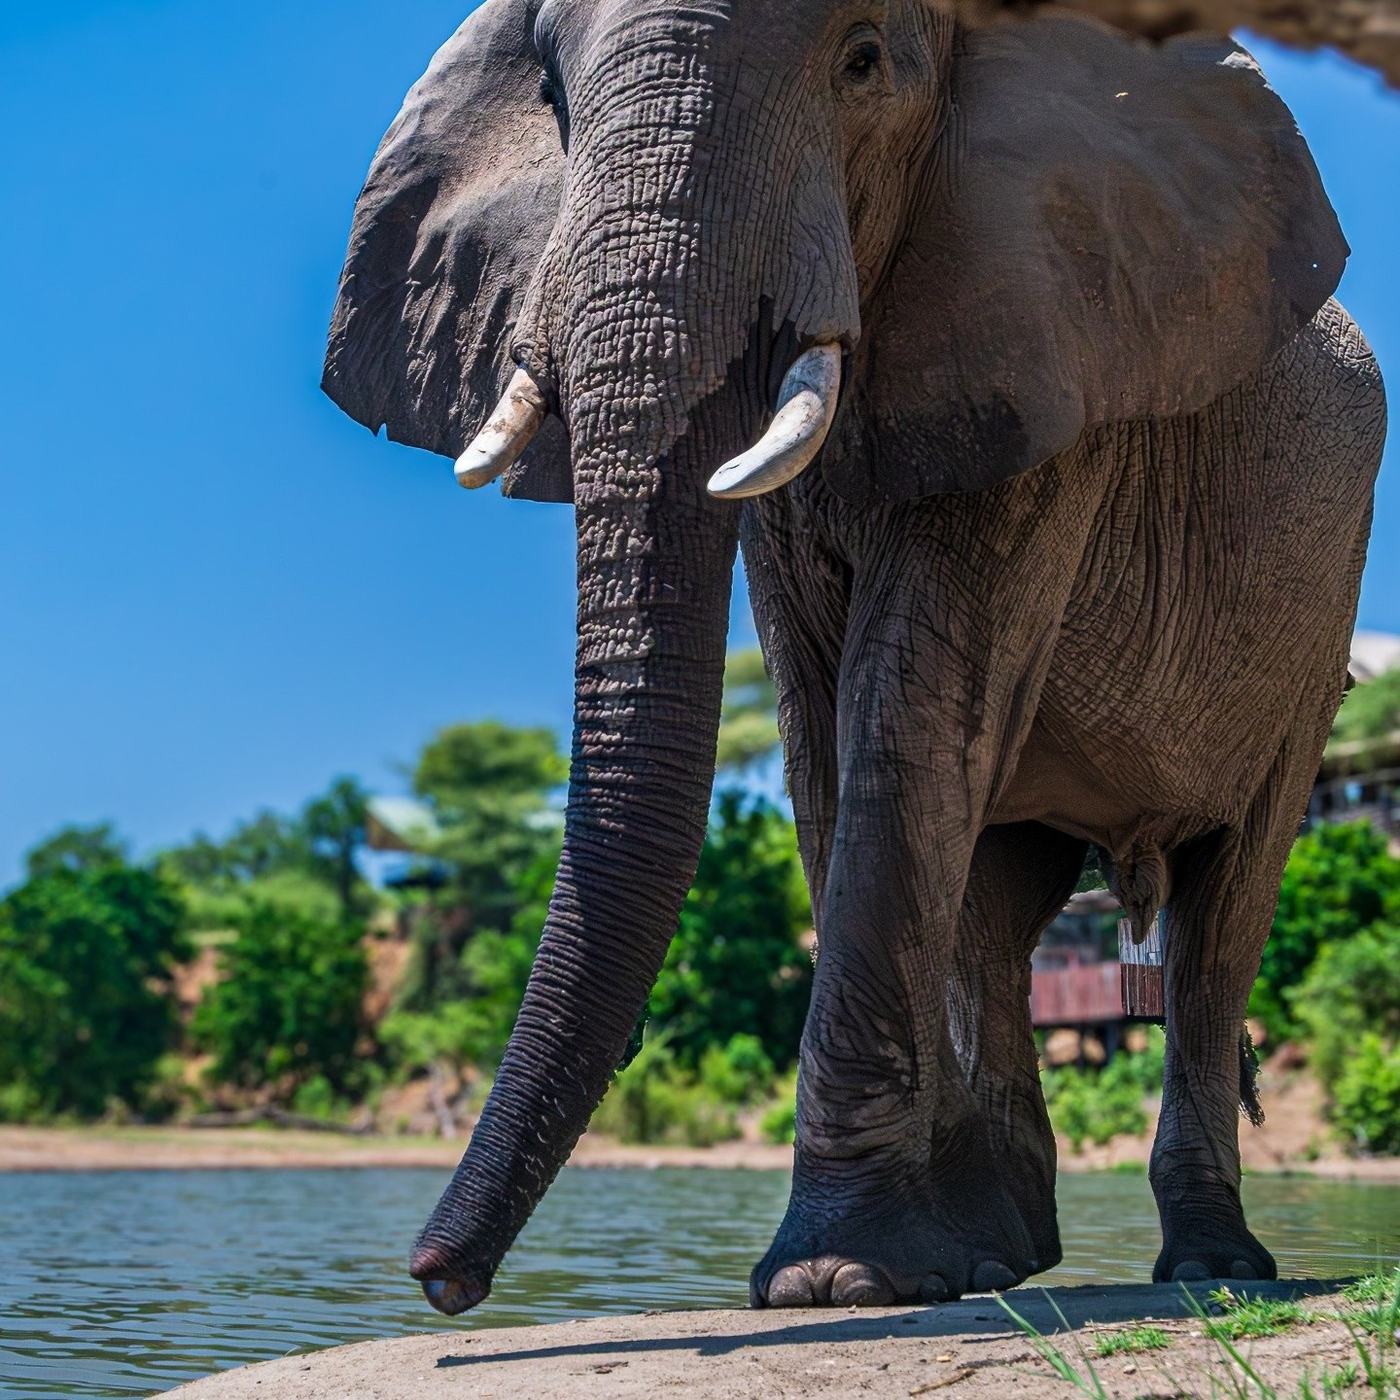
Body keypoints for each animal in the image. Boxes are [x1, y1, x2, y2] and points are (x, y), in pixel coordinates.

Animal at [324, 0, 1386, 1313]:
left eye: (863, 63)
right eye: (557, 104)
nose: (437, 1278)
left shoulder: (1041, 341)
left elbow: (904, 709)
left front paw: (831, 1281)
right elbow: (822, 729)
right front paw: (893, 1270)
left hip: (1312, 627)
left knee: (1218, 915)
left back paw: (1210, 1265)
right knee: (993, 903)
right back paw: (1000, 1248)